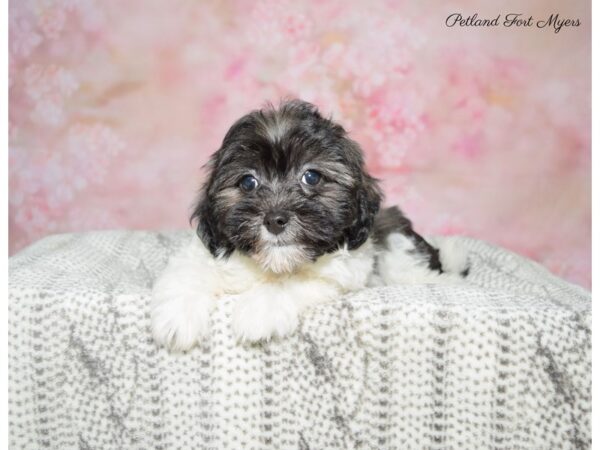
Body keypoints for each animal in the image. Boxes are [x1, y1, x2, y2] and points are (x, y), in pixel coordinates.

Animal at [151, 99, 468, 352]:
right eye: (248, 182)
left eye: (311, 177)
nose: (275, 220)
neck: (271, 265)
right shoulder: (205, 251)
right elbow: (188, 272)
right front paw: (177, 318)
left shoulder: (339, 272)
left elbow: (291, 282)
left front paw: (259, 311)